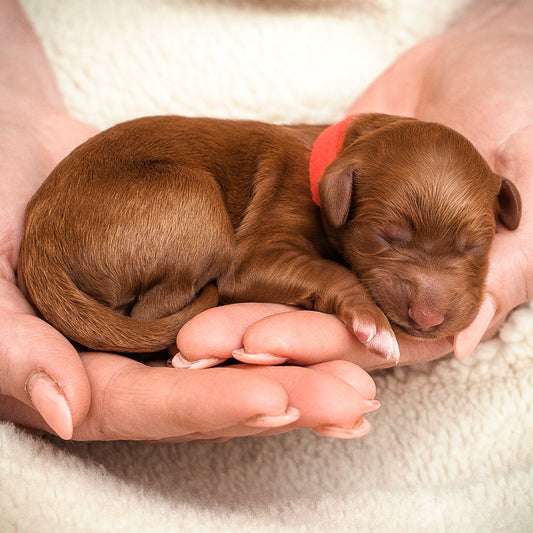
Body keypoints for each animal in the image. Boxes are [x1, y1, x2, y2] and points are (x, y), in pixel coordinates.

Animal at [16, 112, 520, 362]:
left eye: (476, 246)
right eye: (384, 237)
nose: (427, 319)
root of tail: (37, 242)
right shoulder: (259, 250)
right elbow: (329, 270)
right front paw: (371, 322)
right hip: (192, 200)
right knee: (152, 308)